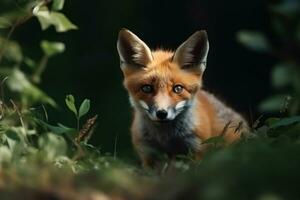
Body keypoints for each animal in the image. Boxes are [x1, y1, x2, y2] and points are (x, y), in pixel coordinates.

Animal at [116, 28, 248, 168]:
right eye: (147, 88)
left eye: (178, 88)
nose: (161, 113)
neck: (166, 139)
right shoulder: (147, 153)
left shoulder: (197, 149)